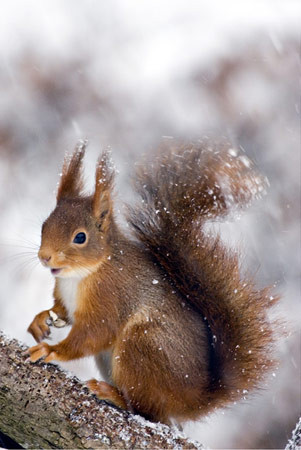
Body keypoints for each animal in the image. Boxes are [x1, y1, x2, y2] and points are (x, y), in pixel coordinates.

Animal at [27, 141, 278, 426]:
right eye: (44, 225)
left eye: (80, 237)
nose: (44, 256)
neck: (81, 275)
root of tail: (192, 400)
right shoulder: (65, 297)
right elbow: (61, 312)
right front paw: (41, 320)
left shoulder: (110, 297)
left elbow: (93, 334)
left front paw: (51, 350)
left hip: (142, 345)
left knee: (148, 411)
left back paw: (113, 395)